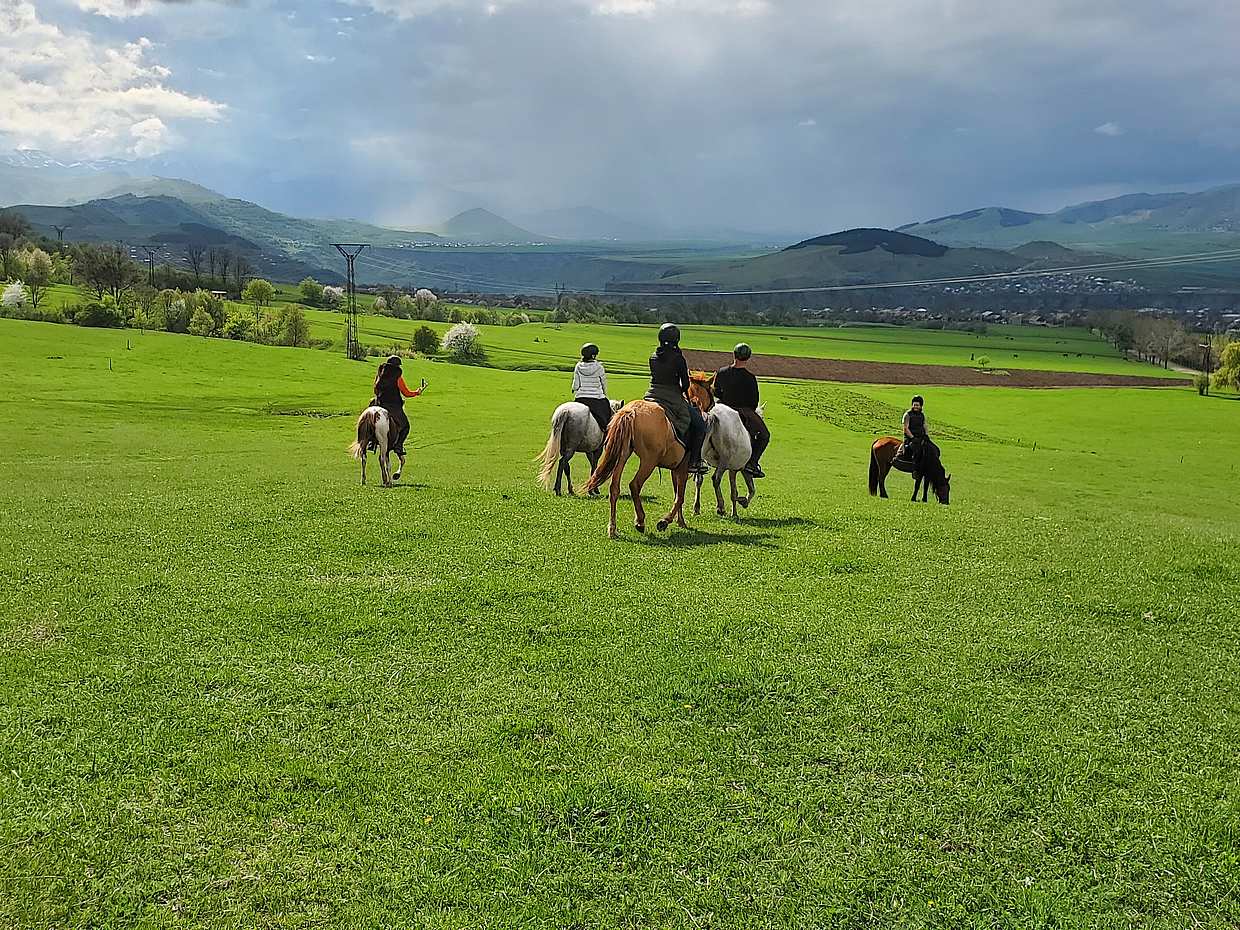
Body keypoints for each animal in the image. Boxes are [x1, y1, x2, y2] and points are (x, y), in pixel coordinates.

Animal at [583, 399, 692, 539]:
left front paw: (680, 521)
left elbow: (677, 493)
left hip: (623, 454)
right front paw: (665, 521)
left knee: (614, 488)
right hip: (649, 461)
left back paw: (612, 529)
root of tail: (631, 411)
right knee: (635, 485)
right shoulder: (683, 467)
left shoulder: (676, 469)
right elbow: (680, 497)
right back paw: (640, 522)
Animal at [687, 373, 756, 518]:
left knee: (699, 479)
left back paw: (697, 507)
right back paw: (721, 507)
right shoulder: (739, 468)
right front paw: (740, 505)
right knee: (716, 479)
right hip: (725, 460)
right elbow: (743, 490)